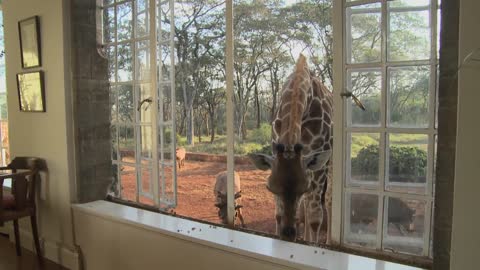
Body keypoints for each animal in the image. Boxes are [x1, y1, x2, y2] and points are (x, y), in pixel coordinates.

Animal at [249, 54, 332, 243]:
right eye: (269, 188)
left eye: (303, 188)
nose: (288, 233)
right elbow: (278, 214)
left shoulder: (319, 164)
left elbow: (315, 217)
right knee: (307, 206)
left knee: (327, 201)